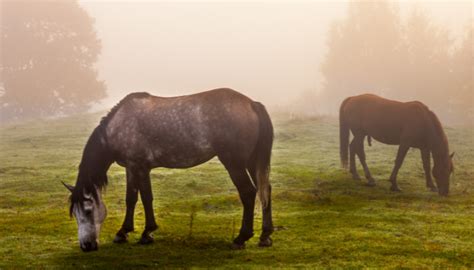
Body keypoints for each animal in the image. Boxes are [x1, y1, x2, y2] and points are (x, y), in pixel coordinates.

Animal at [62, 88, 274, 251]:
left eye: (88, 210)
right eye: (75, 214)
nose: (86, 246)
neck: (118, 126)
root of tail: (251, 103)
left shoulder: (139, 167)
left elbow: (144, 197)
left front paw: (145, 232)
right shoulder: (133, 168)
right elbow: (132, 199)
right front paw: (126, 232)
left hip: (234, 163)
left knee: (248, 192)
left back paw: (241, 238)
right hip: (252, 162)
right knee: (265, 190)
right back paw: (265, 236)